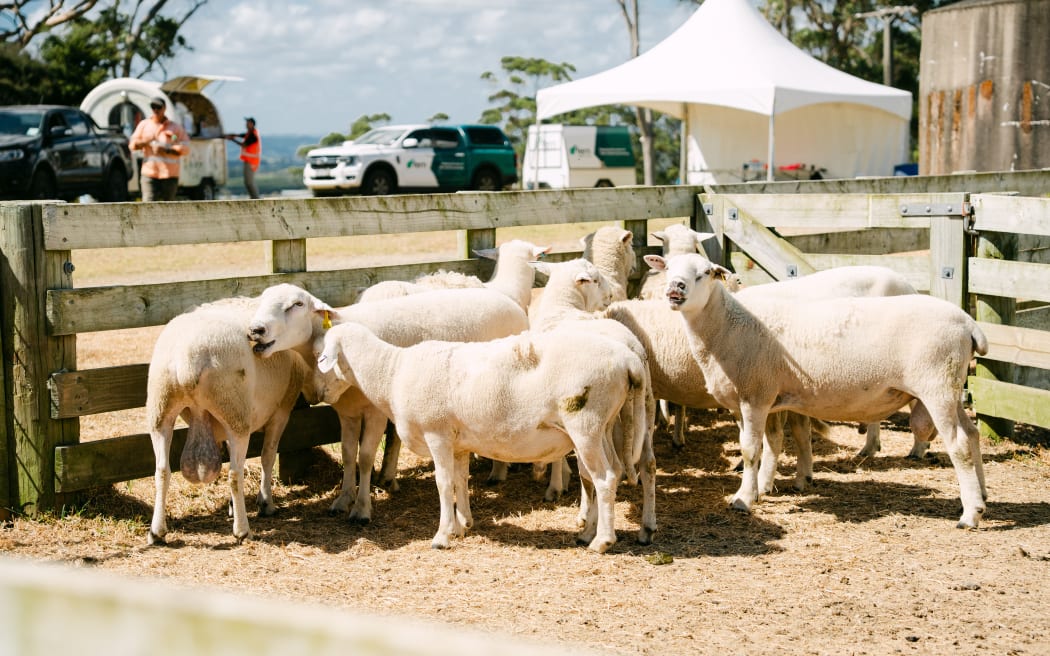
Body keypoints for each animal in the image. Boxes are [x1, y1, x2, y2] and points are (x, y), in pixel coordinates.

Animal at [146, 296, 311, 545]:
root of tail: (188, 358)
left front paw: (234, 506)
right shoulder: (281, 412)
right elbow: (268, 457)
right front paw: (266, 503)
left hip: (161, 407)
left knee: (162, 470)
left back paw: (157, 531)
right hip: (236, 413)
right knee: (235, 474)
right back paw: (242, 530)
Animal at [247, 283, 529, 525]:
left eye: (296, 304)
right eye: (262, 300)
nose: (256, 330)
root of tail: (512, 303)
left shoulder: (375, 412)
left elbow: (365, 458)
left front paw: (361, 509)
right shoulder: (347, 413)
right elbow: (348, 454)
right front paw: (343, 500)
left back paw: (498, 472)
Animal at [315, 320, 655, 552]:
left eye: (322, 358)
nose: (318, 394)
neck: (391, 372)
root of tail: (629, 359)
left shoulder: (437, 434)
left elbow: (443, 483)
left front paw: (442, 536)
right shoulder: (458, 442)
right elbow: (460, 479)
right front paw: (463, 525)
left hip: (585, 422)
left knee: (604, 478)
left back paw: (602, 541)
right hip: (604, 425)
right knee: (610, 472)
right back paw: (589, 534)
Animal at [646, 253, 988, 528]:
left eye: (704, 272)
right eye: (669, 268)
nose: (676, 287)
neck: (727, 327)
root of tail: (969, 323)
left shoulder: (756, 395)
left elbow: (751, 449)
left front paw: (743, 499)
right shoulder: (746, 401)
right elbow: (765, 445)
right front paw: (760, 488)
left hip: (936, 386)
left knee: (958, 444)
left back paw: (969, 515)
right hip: (950, 388)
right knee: (972, 434)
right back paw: (983, 497)